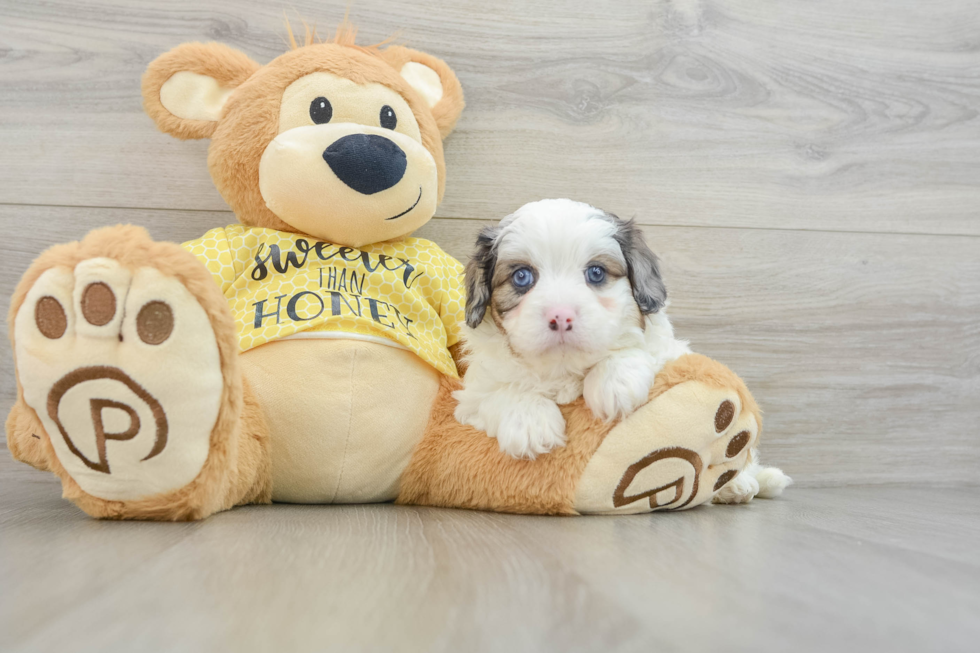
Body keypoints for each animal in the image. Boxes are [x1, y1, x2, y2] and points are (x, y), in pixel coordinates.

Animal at [452, 199, 688, 458]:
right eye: (521, 276)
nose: (561, 317)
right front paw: (529, 420)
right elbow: (497, 392)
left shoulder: (671, 350)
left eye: (596, 272)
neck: (563, 366)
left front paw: (615, 380)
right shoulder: (473, 396)